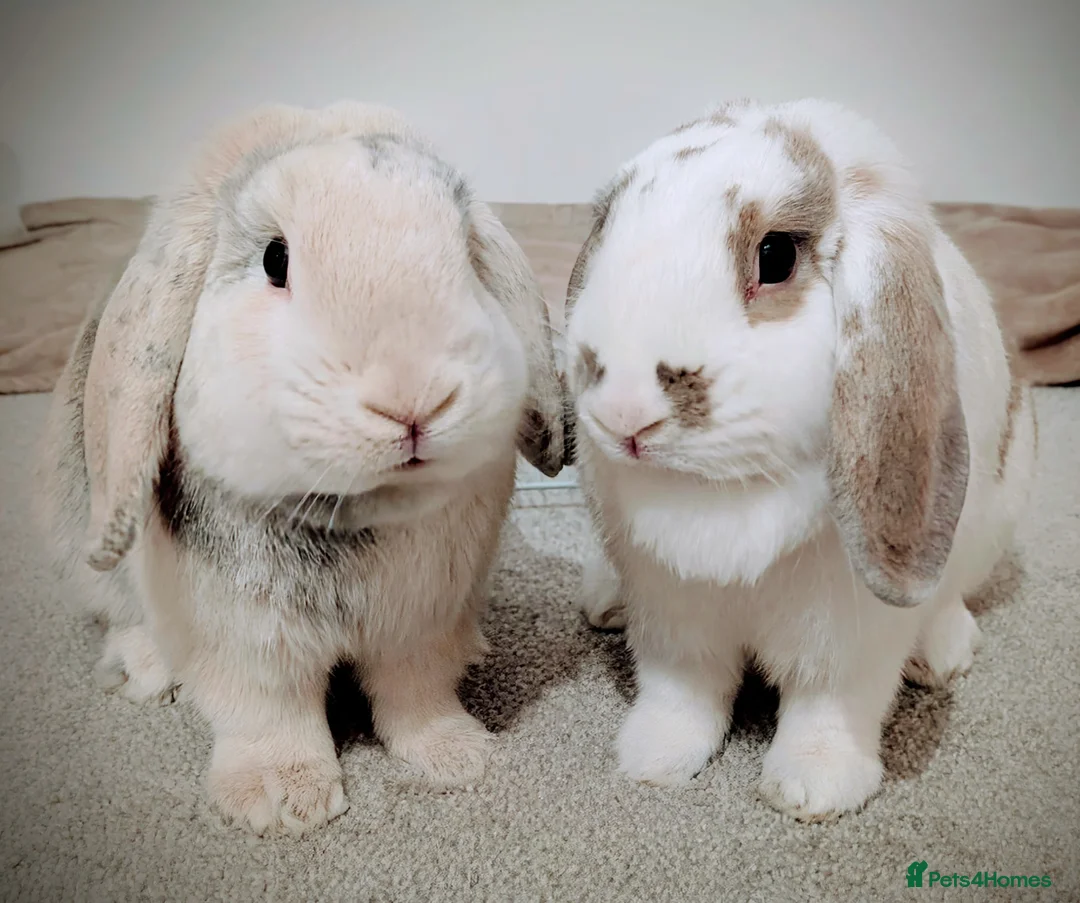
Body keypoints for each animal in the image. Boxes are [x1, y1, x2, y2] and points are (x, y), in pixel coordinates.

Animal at [34, 100, 567, 835]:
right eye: (275, 258)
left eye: (466, 253)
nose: (414, 403)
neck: (356, 510)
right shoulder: (242, 635)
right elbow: (268, 712)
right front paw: (283, 803)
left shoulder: (421, 620)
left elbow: (416, 693)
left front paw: (458, 759)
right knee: (119, 612)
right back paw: (144, 672)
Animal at [562, 98, 1036, 821]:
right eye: (606, 227)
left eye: (777, 255)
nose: (623, 413)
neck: (720, 494)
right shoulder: (671, 606)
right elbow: (682, 689)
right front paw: (652, 761)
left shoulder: (850, 633)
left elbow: (830, 702)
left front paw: (814, 789)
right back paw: (603, 602)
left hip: (991, 522)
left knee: (954, 595)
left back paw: (943, 654)